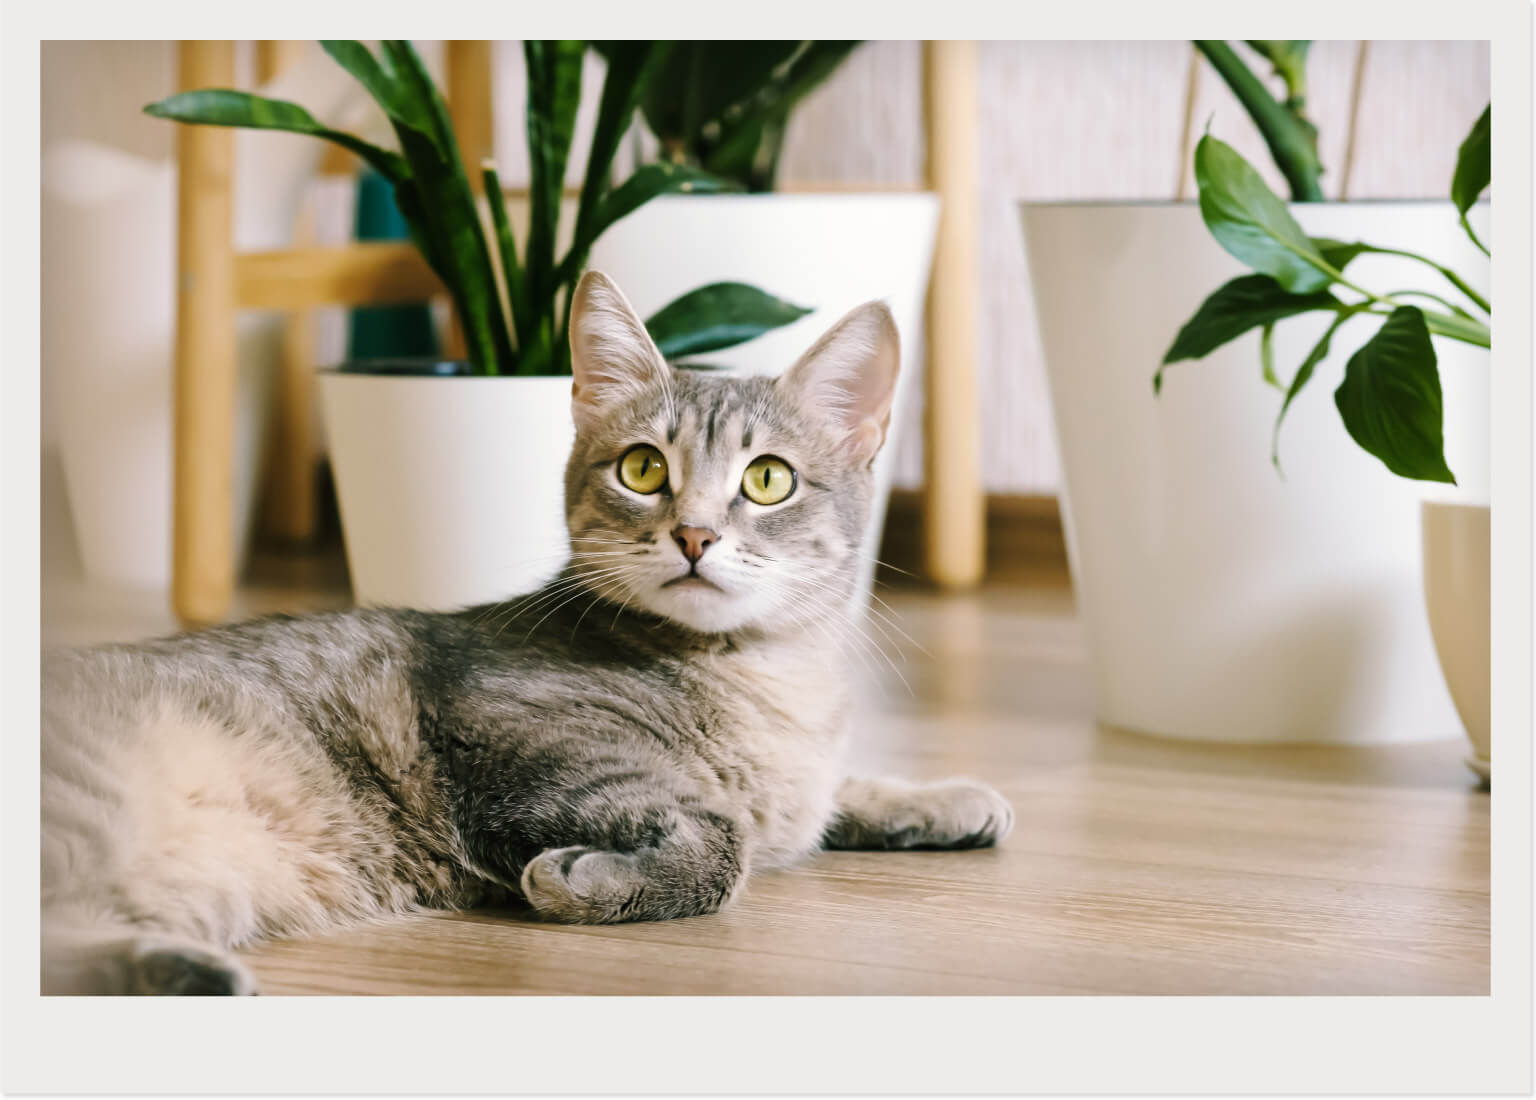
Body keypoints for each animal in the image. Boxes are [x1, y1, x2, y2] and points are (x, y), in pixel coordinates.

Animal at [38, 268, 1007, 995]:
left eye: (768, 479)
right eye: (643, 468)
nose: (694, 534)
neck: (772, 682)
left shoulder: (796, 782)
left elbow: (828, 794)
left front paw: (938, 797)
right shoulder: (521, 749)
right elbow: (718, 847)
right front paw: (584, 881)